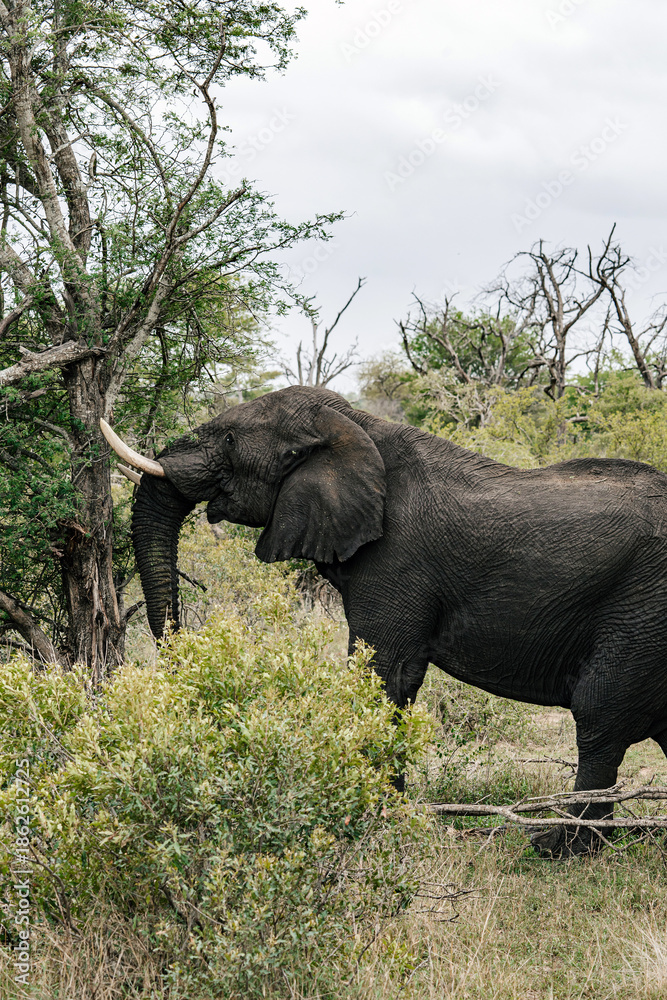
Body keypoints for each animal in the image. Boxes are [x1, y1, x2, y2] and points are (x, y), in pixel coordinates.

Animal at [101, 385, 667, 857]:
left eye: (229, 439)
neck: (351, 425)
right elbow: (399, 681)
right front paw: (387, 814)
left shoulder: (396, 561)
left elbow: (384, 676)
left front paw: (364, 819)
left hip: (640, 606)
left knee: (597, 716)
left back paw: (560, 847)